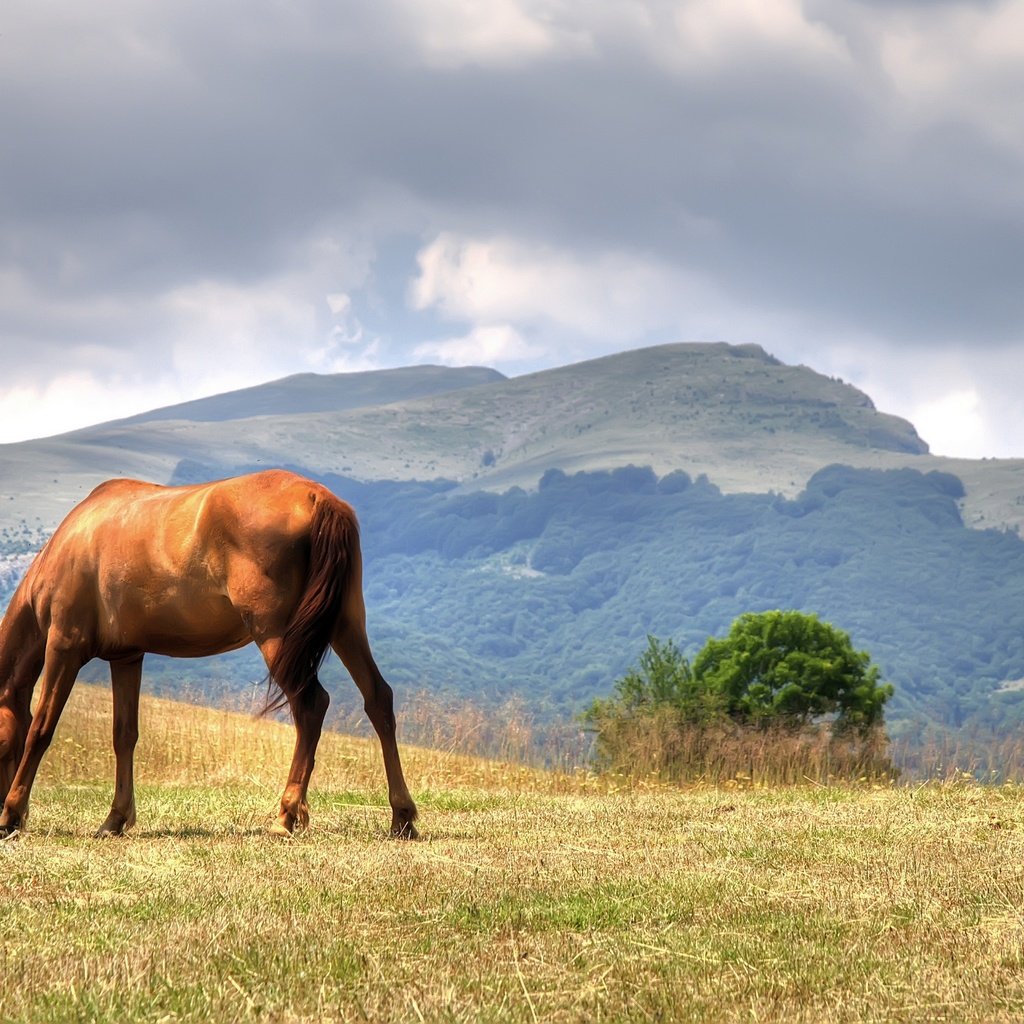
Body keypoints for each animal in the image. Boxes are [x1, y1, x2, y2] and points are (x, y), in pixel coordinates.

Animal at [0, 471, 417, 839]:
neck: (72, 543)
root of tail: (318, 497)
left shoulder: (63, 646)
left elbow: (41, 728)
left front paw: (12, 813)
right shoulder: (127, 658)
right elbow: (124, 735)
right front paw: (115, 818)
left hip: (277, 636)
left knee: (311, 704)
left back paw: (285, 816)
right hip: (346, 626)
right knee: (378, 699)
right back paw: (402, 816)